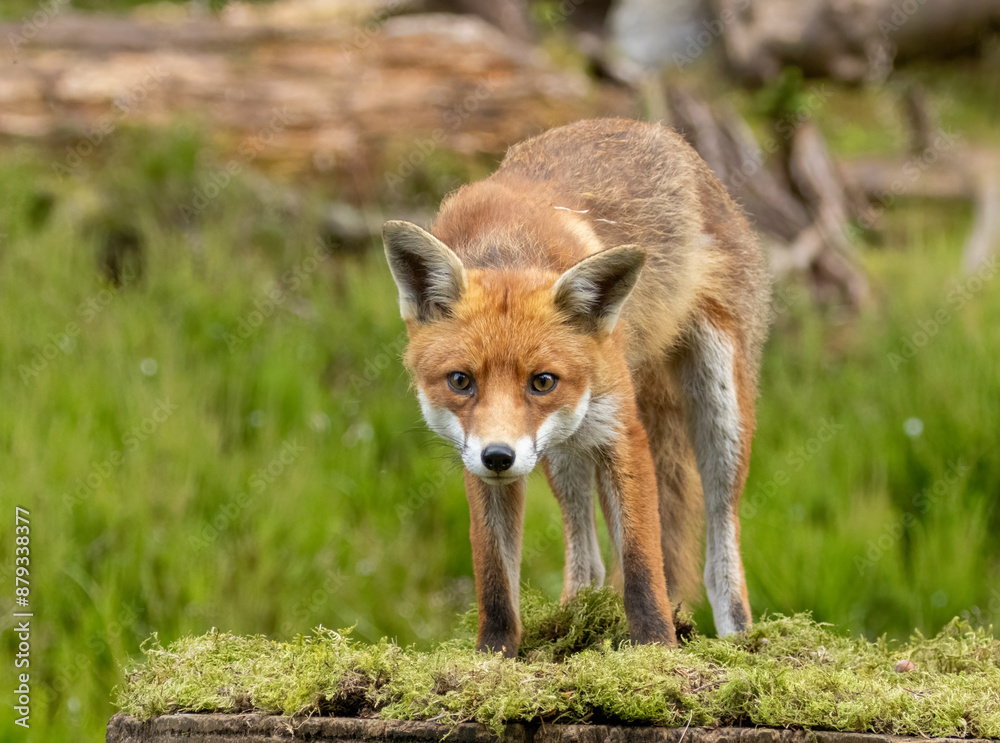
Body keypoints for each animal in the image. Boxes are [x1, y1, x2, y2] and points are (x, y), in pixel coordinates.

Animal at [382, 118, 770, 656]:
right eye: (461, 381)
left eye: (542, 381)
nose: (498, 457)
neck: (508, 247)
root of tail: (658, 132)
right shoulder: (478, 457)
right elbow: (495, 579)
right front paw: (493, 658)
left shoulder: (621, 432)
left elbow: (643, 570)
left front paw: (656, 650)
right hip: (562, 448)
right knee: (588, 562)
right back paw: (574, 618)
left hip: (719, 410)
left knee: (721, 547)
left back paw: (737, 638)